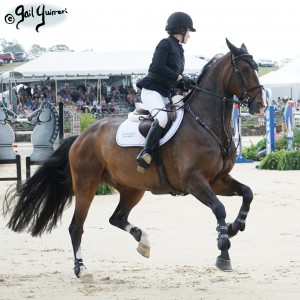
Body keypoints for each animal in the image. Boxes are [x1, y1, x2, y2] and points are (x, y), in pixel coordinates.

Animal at [2, 38, 264, 280]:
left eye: (256, 67)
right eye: (244, 70)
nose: (260, 106)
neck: (206, 122)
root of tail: (81, 137)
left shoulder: (217, 180)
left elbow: (248, 193)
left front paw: (235, 227)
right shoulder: (194, 182)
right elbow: (219, 209)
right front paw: (223, 251)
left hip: (132, 188)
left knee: (117, 217)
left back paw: (143, 241)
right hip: (86, 185)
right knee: (77, 226)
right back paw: (82, 269)